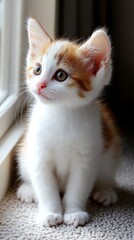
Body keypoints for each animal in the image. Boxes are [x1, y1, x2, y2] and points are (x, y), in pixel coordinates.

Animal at [16, 18, 120, 227]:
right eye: (37, 69)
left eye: (61, 75)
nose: (40, 85)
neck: (60, 113)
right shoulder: (39, 154)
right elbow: (45, 186)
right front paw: (50, 212)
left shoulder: (87, 155)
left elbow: (78, 187)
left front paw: (74, 212)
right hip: (24, 153)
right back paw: (28, 189)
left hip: (110, 153)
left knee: (106, 174)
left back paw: (105, 191)